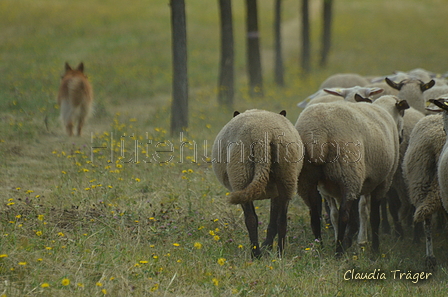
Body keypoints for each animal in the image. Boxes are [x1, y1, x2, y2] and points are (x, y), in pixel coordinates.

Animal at [212, 108, 302, 256]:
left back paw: (256, 254)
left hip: (240, 176)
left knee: (251, 220)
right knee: (282, 220)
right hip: (287, 176)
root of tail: (263, 135)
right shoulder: (275, 192)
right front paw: (268, 246)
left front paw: (264, 247)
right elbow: (273, 220)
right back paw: (280, 254)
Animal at [294, 95, 410, 254]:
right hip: (348, 173)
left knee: (314, 214)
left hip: (307, 178)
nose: (401, 138)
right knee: (343, 215)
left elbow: (356, 216)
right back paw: (338, 251)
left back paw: (320, 248)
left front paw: (351, 238)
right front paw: (374, 249)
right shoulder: (382, 182)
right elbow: (374, 217)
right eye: (402, 113)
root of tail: (317, 133)